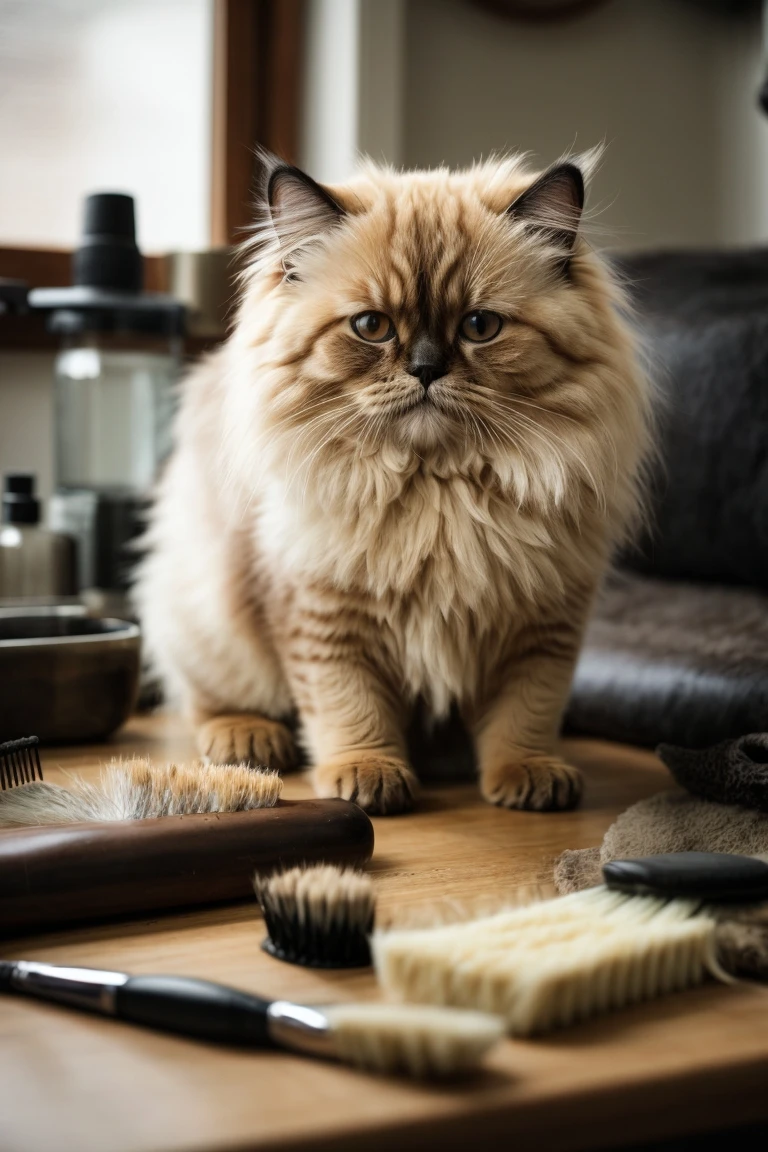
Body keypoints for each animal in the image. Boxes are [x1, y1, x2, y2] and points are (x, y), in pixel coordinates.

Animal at [135, 153, 654, 815]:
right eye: (371, 326)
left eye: (480, 326)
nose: (426, 369)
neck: (438, 493)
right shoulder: (323, 617)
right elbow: (350, 710)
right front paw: (369, 776)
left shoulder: (544, 625)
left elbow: (526, 716)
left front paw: (527, 775)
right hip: (203, 617)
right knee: (208, 703)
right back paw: (249, 741)